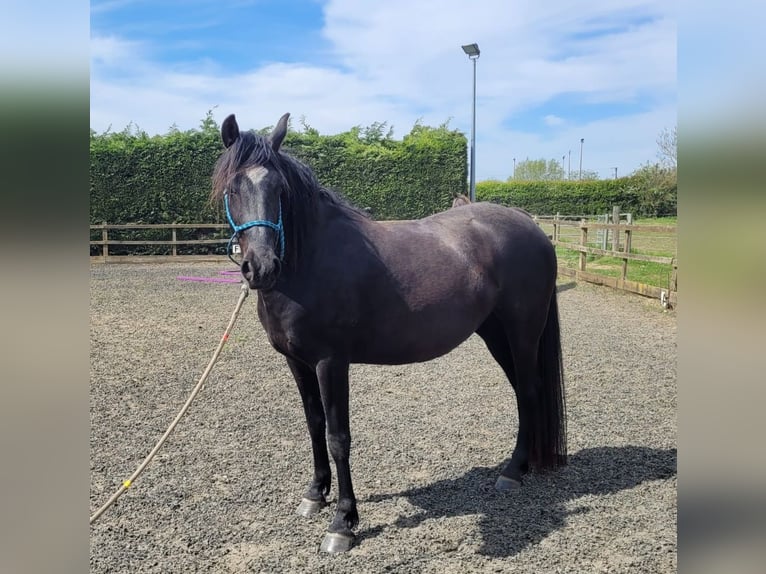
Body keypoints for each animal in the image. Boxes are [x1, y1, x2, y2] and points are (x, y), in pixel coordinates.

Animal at [211, 113, 567, 553]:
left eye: (280, 190)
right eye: (233, 188)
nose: (261, 267)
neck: (310, 262)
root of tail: (530, 225)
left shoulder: (331, 362)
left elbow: (338, 436)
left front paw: (343, 522)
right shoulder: (296, 362)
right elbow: (313, 424)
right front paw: (315, 494)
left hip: (522, 332)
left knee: (530, 391)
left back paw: (513, 472)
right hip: (496, 334)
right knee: (523, 392)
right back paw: (523, 465)